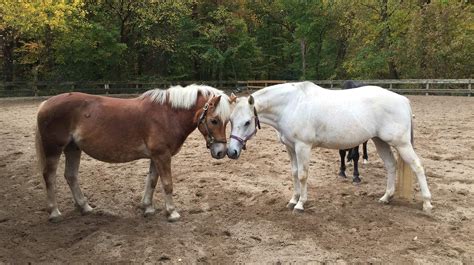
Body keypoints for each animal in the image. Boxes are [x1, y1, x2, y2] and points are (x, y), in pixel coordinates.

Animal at [34, 84, 233, 221]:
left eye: (227, 121)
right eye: (214, 120)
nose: (221, 151)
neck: (168, 114)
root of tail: (45, 103)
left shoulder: (156, 156)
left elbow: (152, 181)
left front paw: (147, 208)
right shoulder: (162, 155)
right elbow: (167, 183)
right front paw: (172, 212)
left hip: (73, 148)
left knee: (71, 176)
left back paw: (85, 207)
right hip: (54, 149)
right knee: (49, 176)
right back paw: (54, 212)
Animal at [228, 82, 432, 212]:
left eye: (247, 122)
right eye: (230, 120)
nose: (231, 152)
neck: (291, 105)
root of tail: (403, 100)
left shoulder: (303, 147)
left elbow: (302, 175)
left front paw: (301, 204)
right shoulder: (290, 147)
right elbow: (294, 173)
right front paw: (293, 200)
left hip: (401, 143)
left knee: (417, 166)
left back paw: (427, 203)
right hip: (379, 141)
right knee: (391, 165)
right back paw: (386, 197)